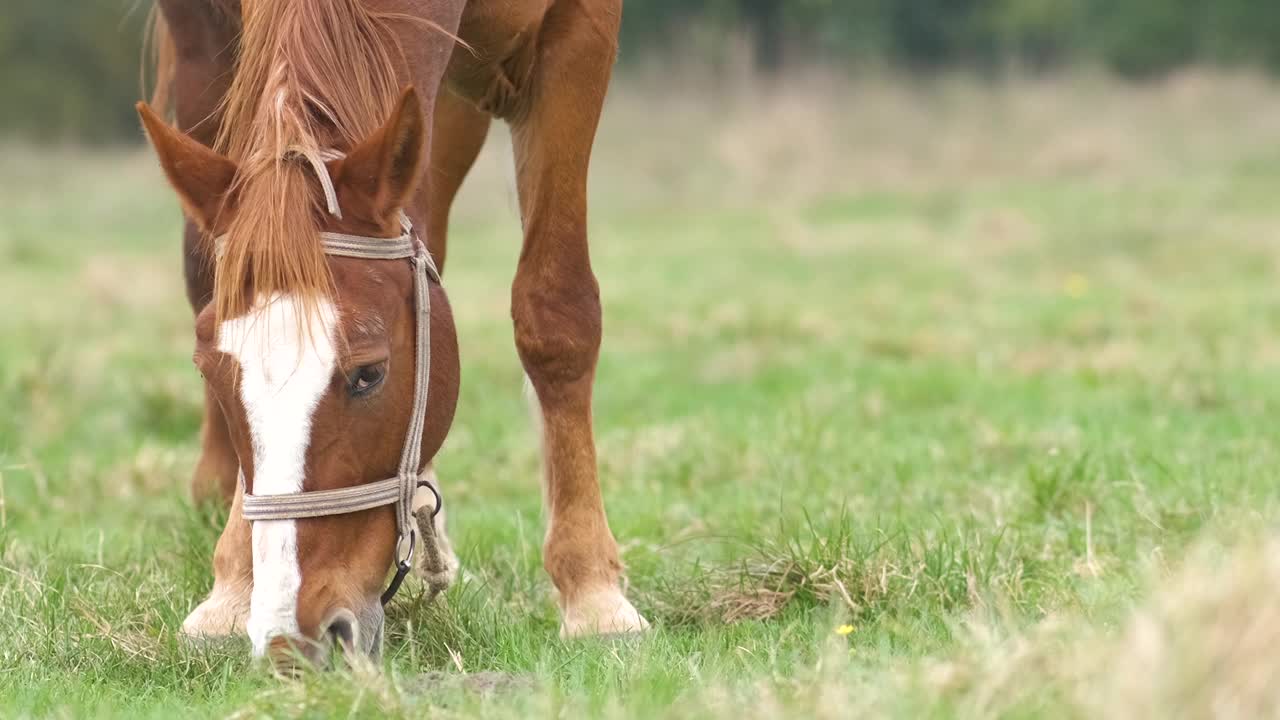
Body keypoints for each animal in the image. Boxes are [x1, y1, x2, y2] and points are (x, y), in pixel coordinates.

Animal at [142, 0, 650, 661]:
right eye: (207, 369)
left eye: (369, 374)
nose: (293, 635)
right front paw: (232, 586)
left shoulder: (577, 35)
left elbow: (557, 310)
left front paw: (593, 593)